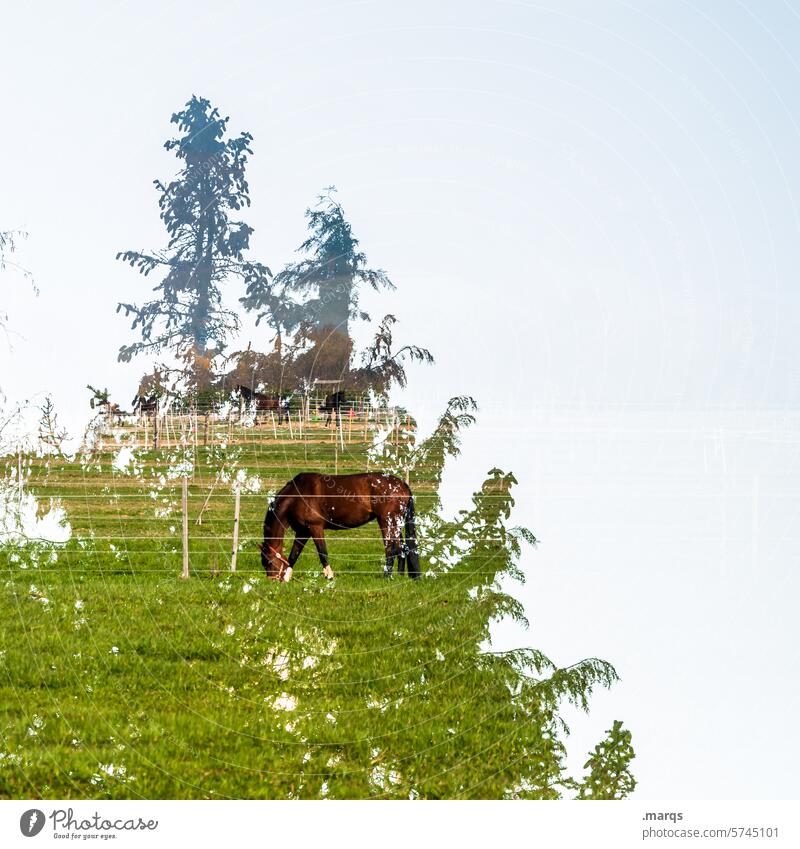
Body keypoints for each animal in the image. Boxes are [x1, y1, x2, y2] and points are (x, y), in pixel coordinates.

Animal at [260, 470, 424, 584]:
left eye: (268, 562)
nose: (272, 581)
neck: (297, 495)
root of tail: (402, 484)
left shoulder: (315, 528)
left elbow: (322, 552)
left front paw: (330, 576)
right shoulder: (303, 531)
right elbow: (294, 554)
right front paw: (287, 578)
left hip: (386, 522)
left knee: (391, 548)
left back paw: (386, 576)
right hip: (395, 524)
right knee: (401, 548)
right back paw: (399, 576)